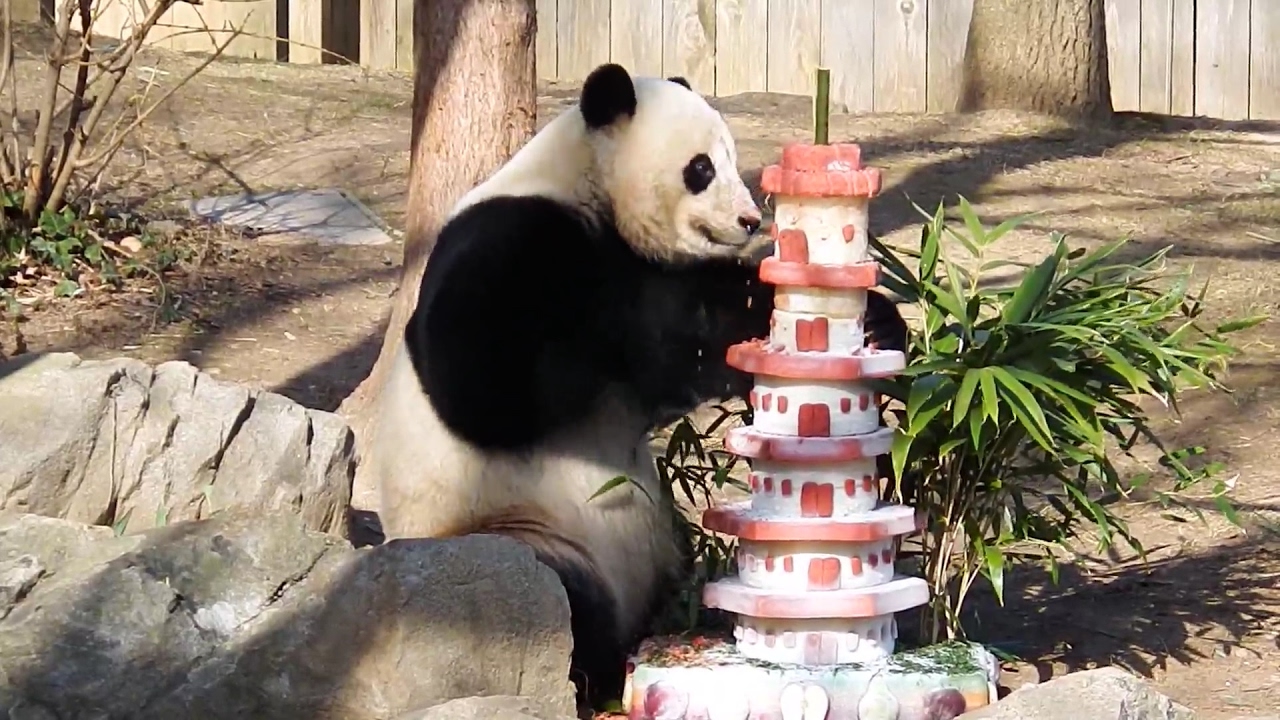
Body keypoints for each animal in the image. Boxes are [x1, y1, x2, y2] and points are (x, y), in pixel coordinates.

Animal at [366, 62, 909, 711]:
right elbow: (480, 382)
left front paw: (878, 322)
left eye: (731, 158)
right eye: (701, 167)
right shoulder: (515, 236)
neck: (588, 189)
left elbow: (700, 335)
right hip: (511, 529)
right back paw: (590, 676)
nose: (750, 221)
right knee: (552, 599)